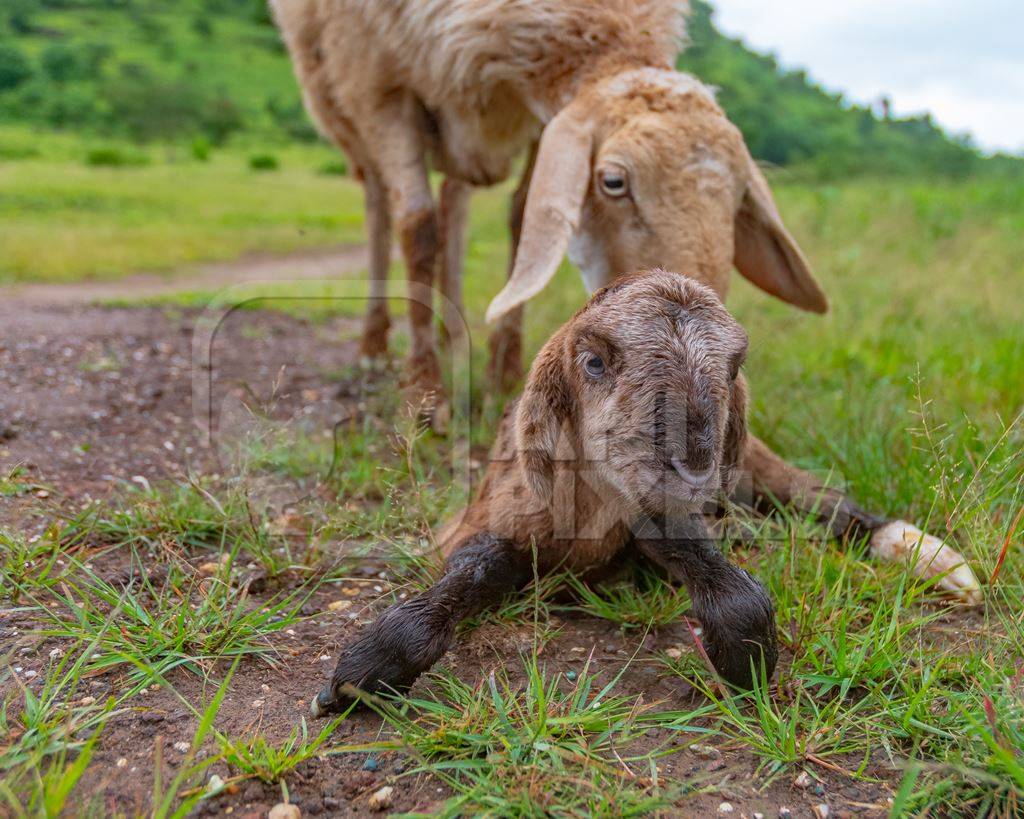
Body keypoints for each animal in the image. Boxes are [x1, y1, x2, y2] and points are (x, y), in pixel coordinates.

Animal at [274, 0, 983, 601]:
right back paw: (385, 350)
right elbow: (415, 226)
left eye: (738, 197)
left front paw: (913, 543)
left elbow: (521, 221)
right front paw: (425, 399)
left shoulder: (537, 122)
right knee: (387, 208)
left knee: (457, 202)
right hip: (345, 108)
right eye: (613, 181)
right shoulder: (377, 80)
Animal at [311, 270, 774, 716]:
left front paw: (744, 661)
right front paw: (363, 674)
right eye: (593, 363)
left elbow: (720, 579)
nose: (693, 470)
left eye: (733, 370)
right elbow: (479, 567)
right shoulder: (490, 518)